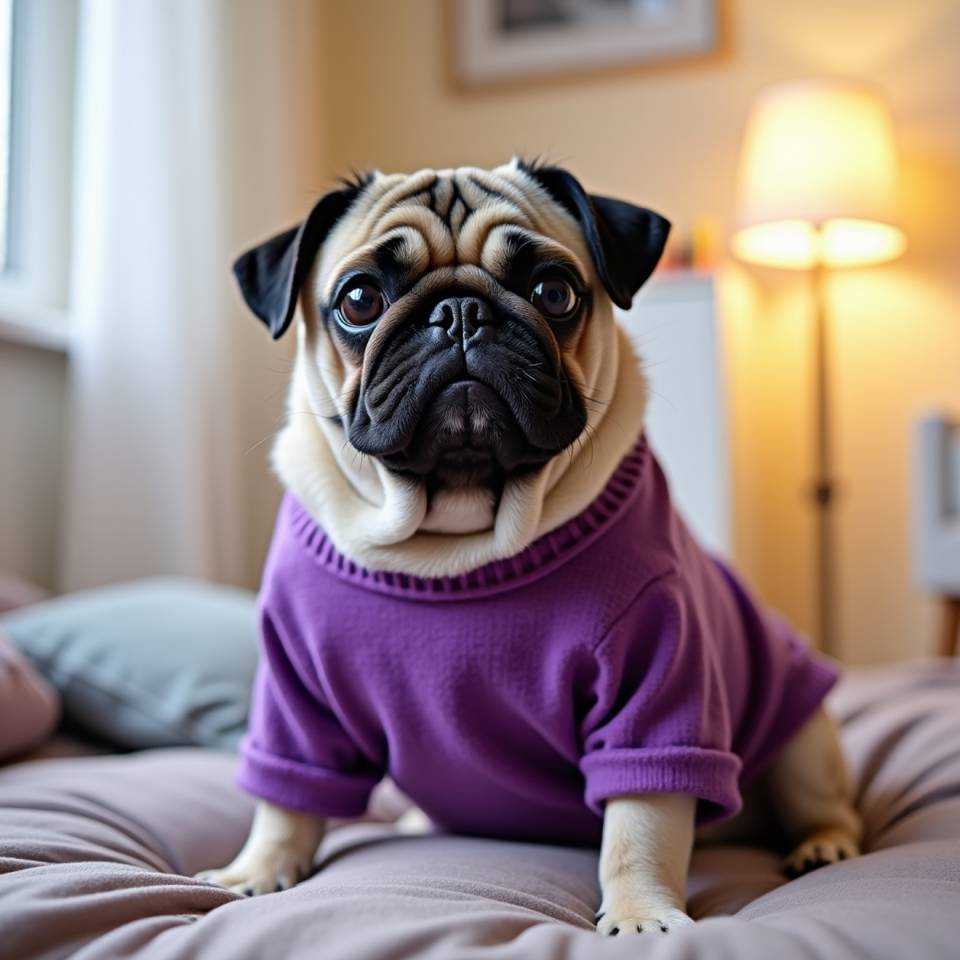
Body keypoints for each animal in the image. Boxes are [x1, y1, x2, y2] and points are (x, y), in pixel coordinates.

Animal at [197, 161, 864, 932]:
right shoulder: (294, 692)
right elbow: (286, 798)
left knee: (822, 799)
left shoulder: (657, 685)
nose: (458, 313)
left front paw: (640, 914)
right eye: (359, 300)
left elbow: (640, 821)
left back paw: (823, 846)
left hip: (804, 737)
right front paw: (255, 872)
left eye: (555, 292)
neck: (451, 543)